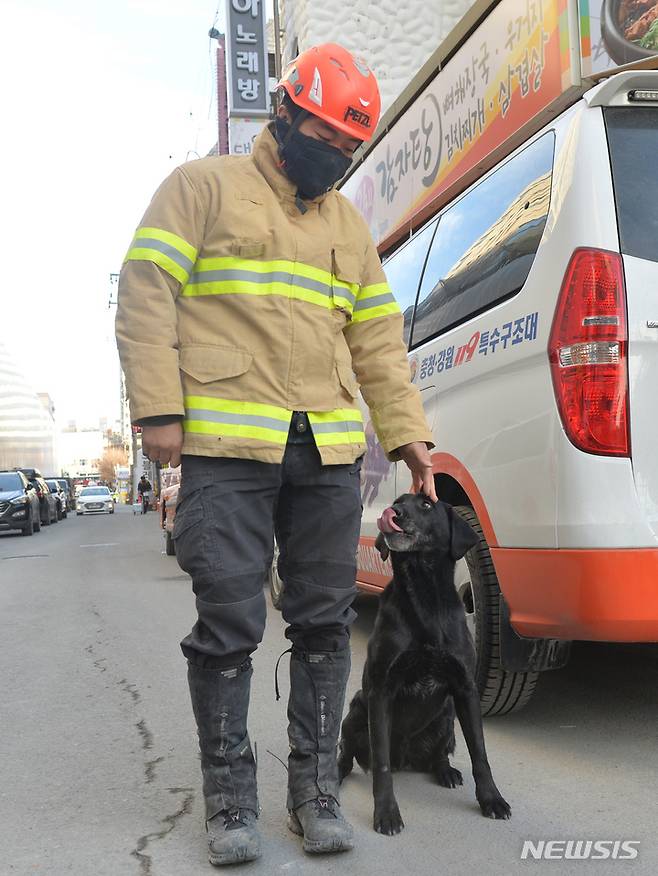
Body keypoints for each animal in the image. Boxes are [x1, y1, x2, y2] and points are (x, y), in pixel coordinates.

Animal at [336, 492, 510, 836]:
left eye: (427, 504)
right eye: (397, 501)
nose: (394, 512)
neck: (424, 596)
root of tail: (407, 758)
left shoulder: (465, 689)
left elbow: (480, 753)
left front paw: (491, 799)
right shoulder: (380, 692)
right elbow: (381, 764)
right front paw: (386, 813)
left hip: (447, 716)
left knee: (440, 754)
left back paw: (446, 772)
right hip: (356, 710)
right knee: (346, 751)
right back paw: (335, 774)